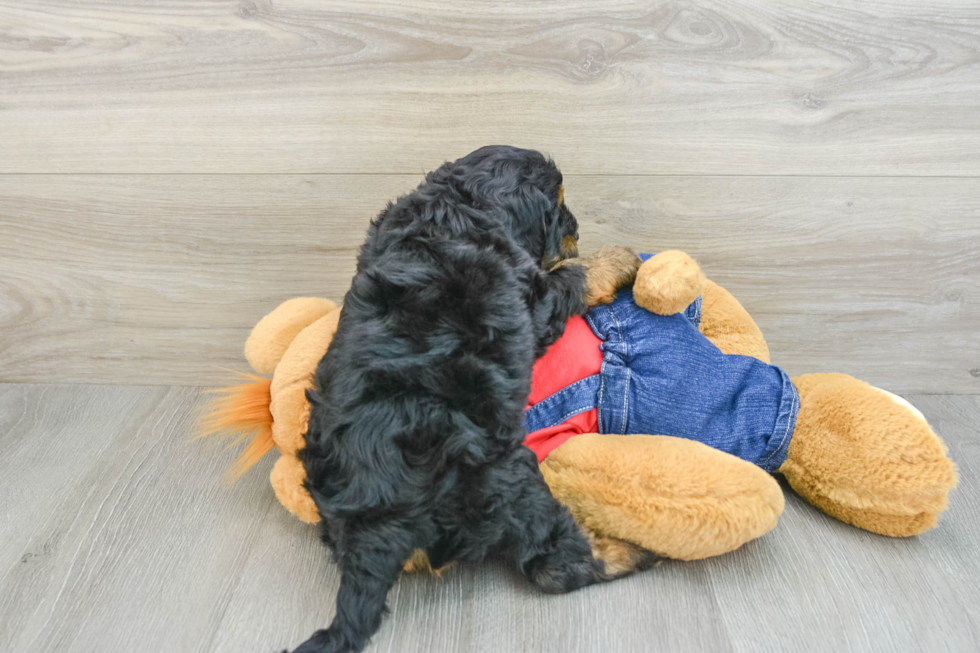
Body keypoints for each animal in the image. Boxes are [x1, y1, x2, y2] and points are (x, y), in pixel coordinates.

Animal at [290, 146, 644, 652]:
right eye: (558, 207)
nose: (576, 230)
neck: (456, 207)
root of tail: (375, 526)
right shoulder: (536, 302)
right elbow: (572, 276)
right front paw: (618, 258)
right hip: (509, 479)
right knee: (554, 564)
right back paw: (627, 552)